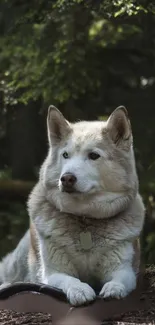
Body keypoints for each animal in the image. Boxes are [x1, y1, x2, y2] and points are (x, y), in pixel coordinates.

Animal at [0, 105, 145, 304]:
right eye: (65, 155)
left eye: (93, 155)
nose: (66, 178)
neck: (85, 219)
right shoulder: (53, 273)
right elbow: (70, 280)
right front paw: (80, 290)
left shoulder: (124, 269)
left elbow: (119, 280)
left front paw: (114, 289)